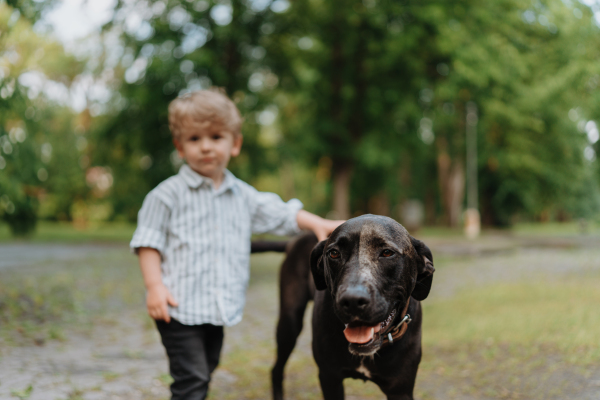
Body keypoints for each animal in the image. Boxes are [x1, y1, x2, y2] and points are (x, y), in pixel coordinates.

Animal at [272, 216, 436, 400]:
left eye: (387, 253)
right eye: (334, 253)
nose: (352, 300)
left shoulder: (401, 389)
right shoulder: (330, 378)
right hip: (289, 324)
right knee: (276, 369)